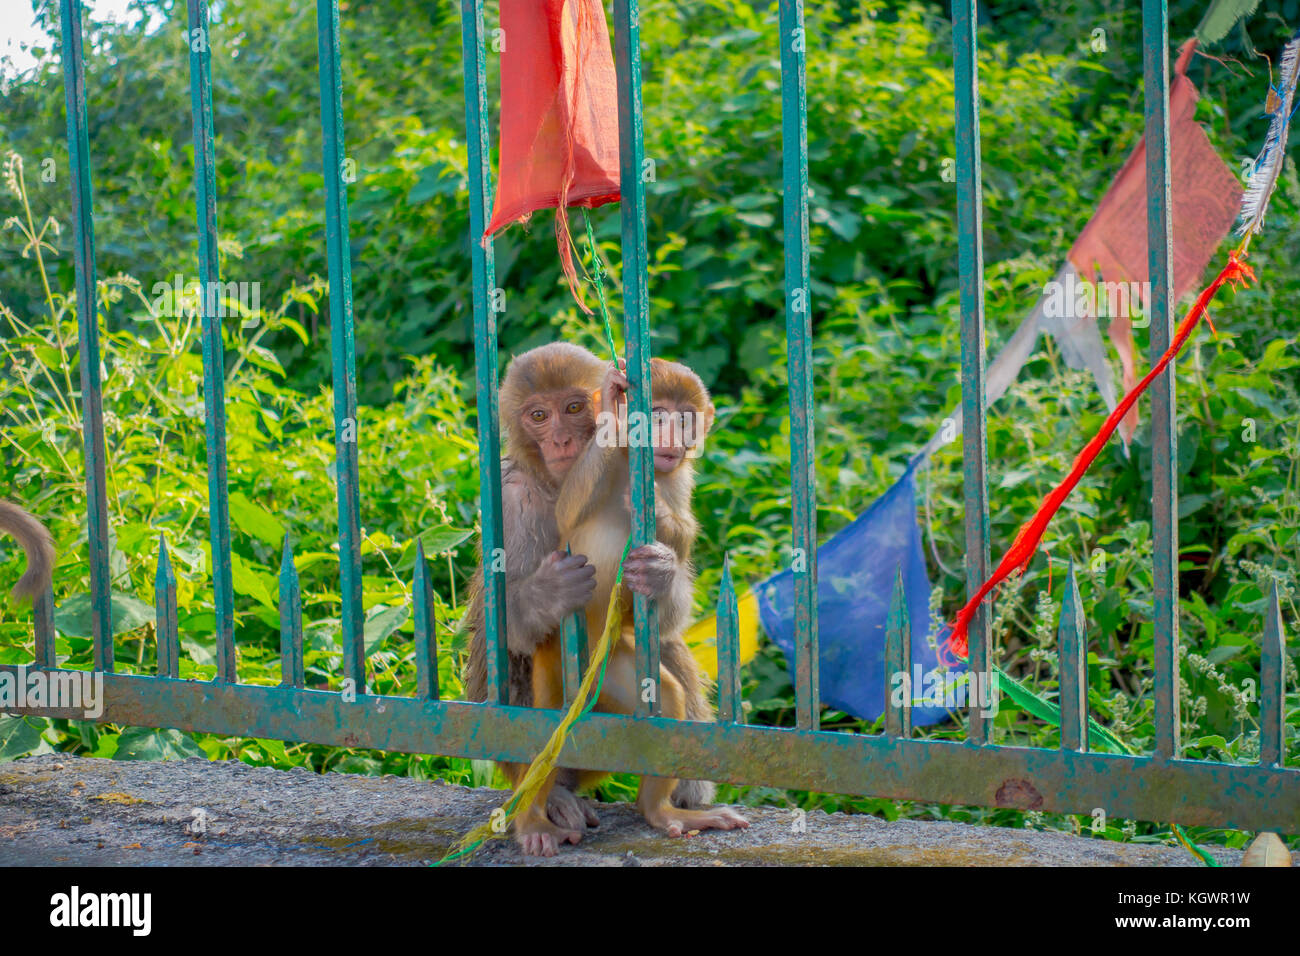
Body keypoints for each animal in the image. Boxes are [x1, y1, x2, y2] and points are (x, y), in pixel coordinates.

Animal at [460, 340, 605, 842]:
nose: (560, 440)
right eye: (539, 416)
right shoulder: (513, 504)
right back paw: (549, 796)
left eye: (574, 408)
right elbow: (503, 623)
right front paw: (551, 591)